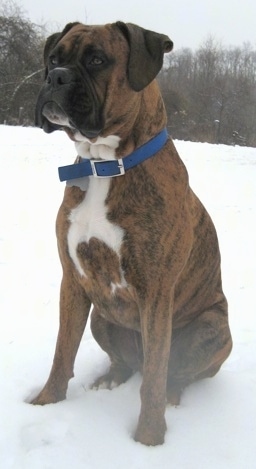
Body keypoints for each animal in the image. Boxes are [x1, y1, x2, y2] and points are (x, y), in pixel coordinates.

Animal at [32, 21, 232, 446]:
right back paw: (110, 377)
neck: (103, 165)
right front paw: (44, 404)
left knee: (171, 372)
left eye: (97, 60)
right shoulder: (73, 281)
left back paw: (173, 393)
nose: (56, 77)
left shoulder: (156, 292)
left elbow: (155, 377)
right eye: (54, 58)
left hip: (212, 327)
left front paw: (148, 440)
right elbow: (62, 353)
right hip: (101, 316)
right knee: (128, 364)